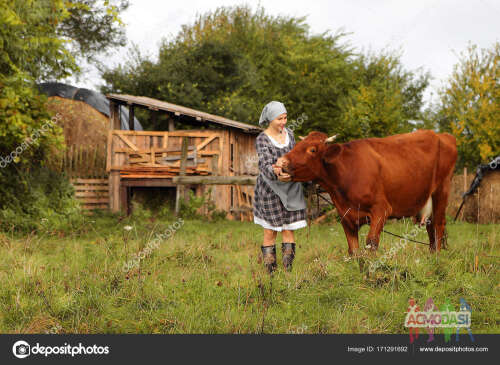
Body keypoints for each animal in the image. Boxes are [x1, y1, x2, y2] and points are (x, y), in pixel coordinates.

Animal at [280, 129, 458, 255]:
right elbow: (353, 250)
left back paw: (436, 257)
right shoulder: (346, 216)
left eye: (312, 150)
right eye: (296, 146)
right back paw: (430, 254)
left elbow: (371, 243)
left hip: (441, 191)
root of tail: (441, 135)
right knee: (430, 227)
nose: (281, 163)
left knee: (438, 224)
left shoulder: (381, 209)